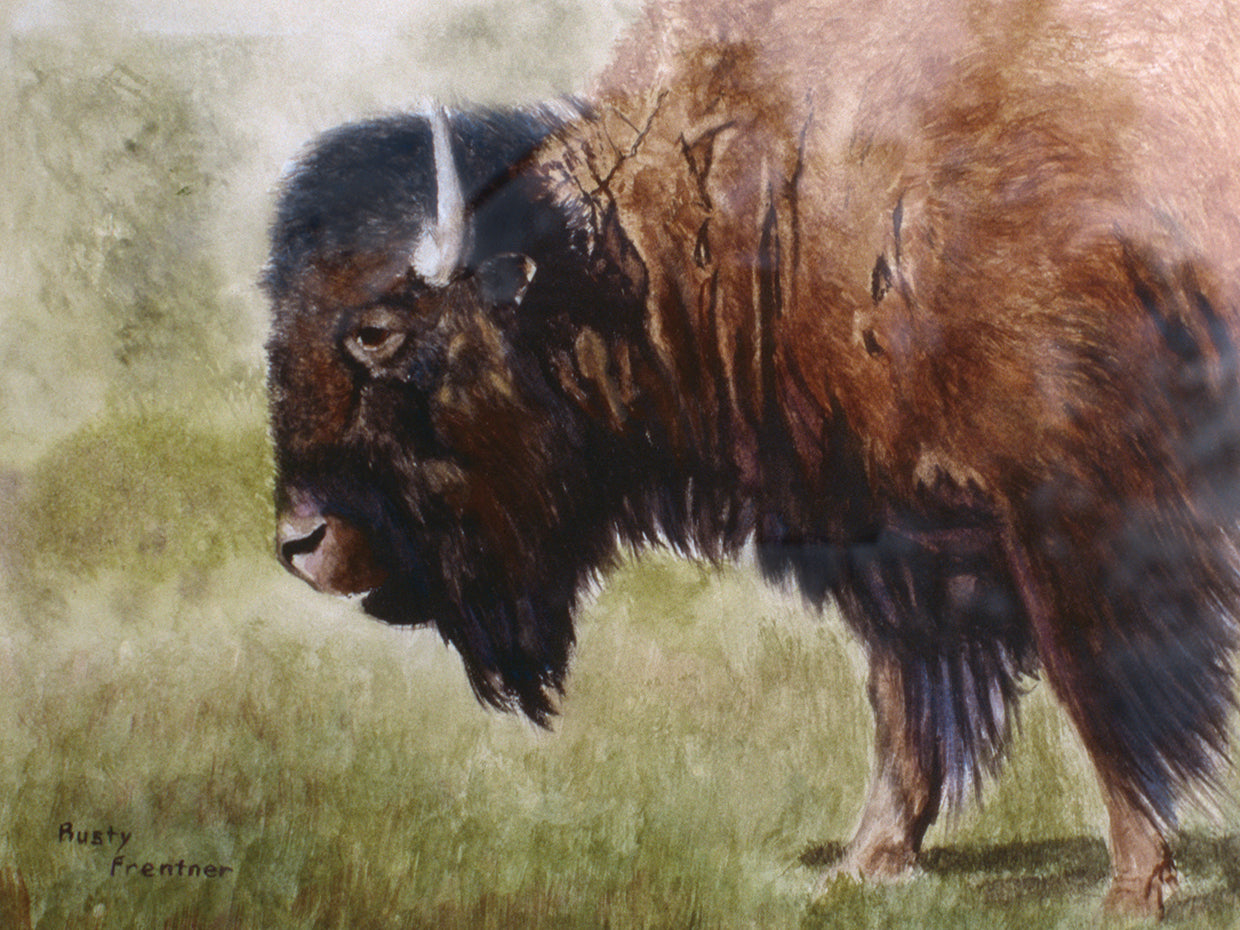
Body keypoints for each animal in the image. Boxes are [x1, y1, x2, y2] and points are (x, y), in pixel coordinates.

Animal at [263, 0, 1240, 917]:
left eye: (376, 330)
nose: (300, 544)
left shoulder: (1078, 514)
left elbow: (1101, 696)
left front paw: (1133, 889)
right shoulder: (896, 532)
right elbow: (907, 706)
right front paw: (866, 866)